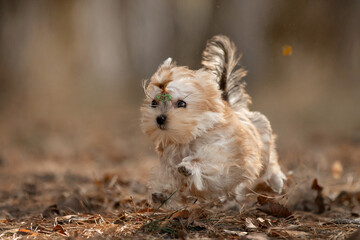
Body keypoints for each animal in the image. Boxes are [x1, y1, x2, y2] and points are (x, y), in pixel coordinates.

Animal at [139, 35, 286, 206]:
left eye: (181, 103)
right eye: (154, 103)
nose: (160, 118)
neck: (189, 138)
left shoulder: (222, 155)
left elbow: (207, 162)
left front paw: (188, 166)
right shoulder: (169, 164)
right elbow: (172, 180)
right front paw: (163, 194)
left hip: (263, 146)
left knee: (271, 164)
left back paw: (276, 183)